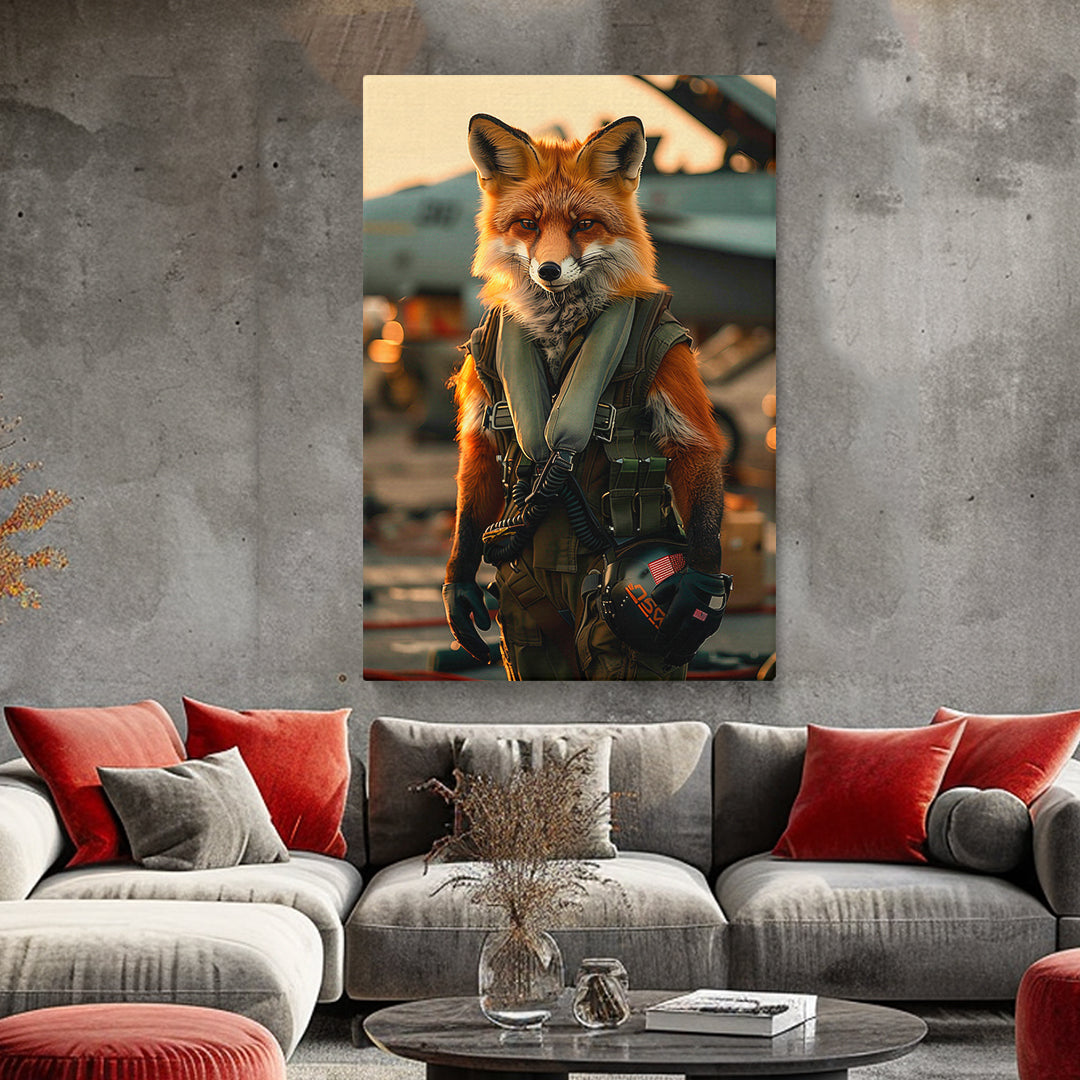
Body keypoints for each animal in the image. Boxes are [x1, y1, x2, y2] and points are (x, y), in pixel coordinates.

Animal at [443, 113, 728, 679]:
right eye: (528, 224)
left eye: (583, 225)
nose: (549, 270)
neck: (560, 330)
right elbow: (479, 459)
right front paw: (459, 588)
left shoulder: (669, 350)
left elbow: (696, 448)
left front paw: (700, 597)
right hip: (529, 632)